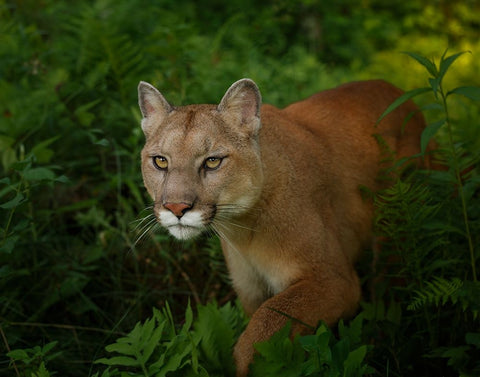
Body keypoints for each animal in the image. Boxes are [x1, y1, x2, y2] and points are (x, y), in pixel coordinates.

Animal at [137, 78, 430, 374]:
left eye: (212, 161)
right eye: (160, 161)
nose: (176, 207)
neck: (243, 231)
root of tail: (395, 89)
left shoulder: (334, 280)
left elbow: (265, 325)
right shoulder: (250, 291)